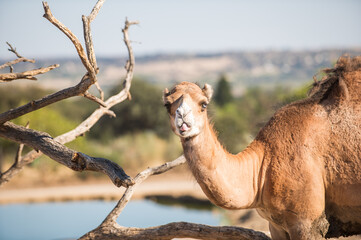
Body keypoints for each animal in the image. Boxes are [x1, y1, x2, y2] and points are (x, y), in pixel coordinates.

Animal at [162, 56, 360, 240]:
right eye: (167, 104)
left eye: (203, 104)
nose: (183, 117)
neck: (263, 164)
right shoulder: (276, 226)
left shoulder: (307, 223)